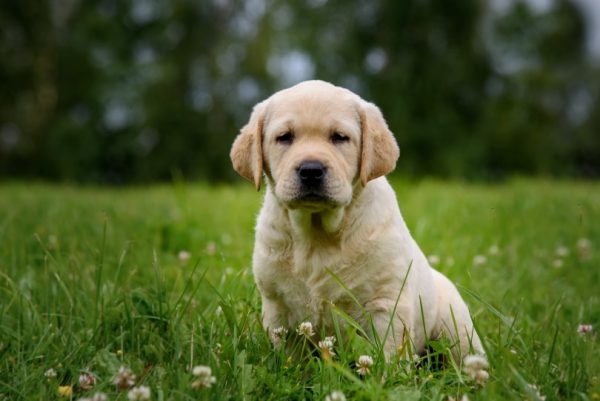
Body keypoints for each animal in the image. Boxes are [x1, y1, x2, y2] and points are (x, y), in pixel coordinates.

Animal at [229, 79, 482, 360]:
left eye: (340, 137)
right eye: (284, 137)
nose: (311, 170)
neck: (317, 234)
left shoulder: (386, 304)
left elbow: (388, 355)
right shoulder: (277, 308)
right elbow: (289, 357)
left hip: (456, 327)